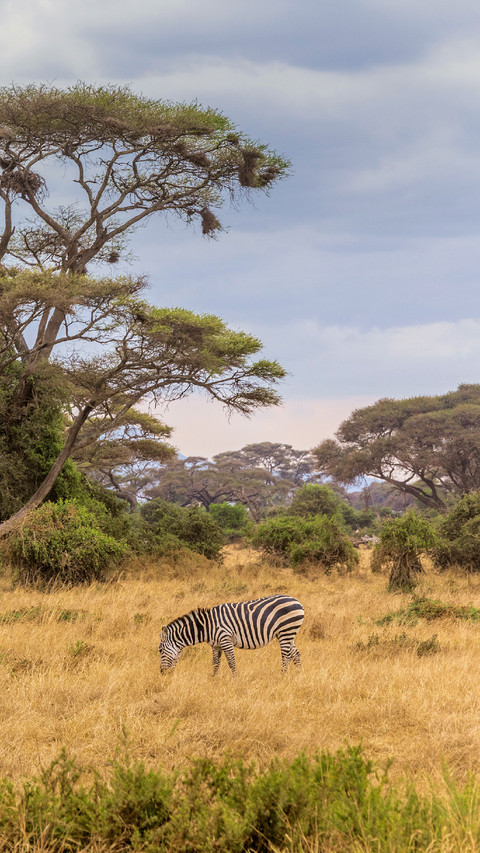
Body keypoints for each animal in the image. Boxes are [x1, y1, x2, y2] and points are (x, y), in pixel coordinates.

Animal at [158, 594, 304, 675]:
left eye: (160, 650)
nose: (162, 673)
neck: (206, 626)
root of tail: (297, 601)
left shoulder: (225, 639)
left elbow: (231, 662)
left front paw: (235, 679)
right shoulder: (215, 645)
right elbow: (215, 663)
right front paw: (214, 679)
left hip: (286, 631)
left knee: (286, 656)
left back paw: (282, 676)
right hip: (286, 634)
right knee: (295, 654)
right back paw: (297, 676)